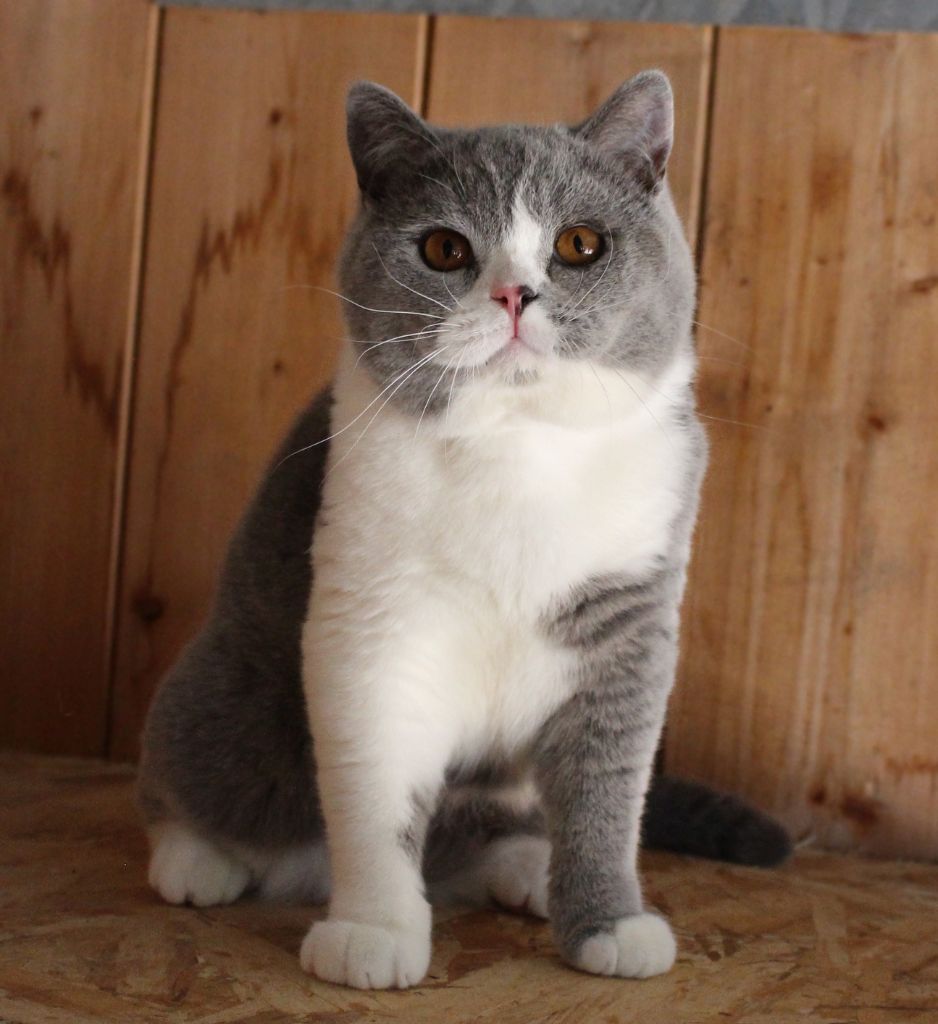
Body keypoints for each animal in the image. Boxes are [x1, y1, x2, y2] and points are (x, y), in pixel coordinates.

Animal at [135, 68, 786, 987]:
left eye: (581, 244)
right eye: (445, 250)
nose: (514, 293)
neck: (516, 446)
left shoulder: (629, 618)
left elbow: (607, 790)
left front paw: (609, 921)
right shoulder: (370, 619)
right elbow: (375, 790)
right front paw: (373, 930)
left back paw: (524, 868)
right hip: (224, 700)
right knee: (189, 776)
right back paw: (197, 859)